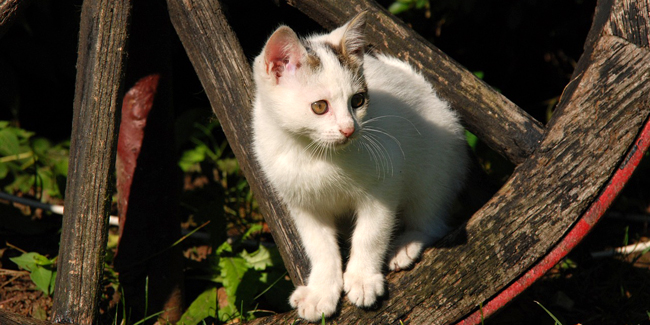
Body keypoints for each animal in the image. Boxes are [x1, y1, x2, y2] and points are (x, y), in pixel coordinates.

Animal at [251, 10, 468, 322]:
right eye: (319, 107)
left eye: (358, 100)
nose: (349, 129)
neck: (314, 154)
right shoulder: (301, 203)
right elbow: (319, 247)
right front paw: (321, 291)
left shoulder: (386, 182)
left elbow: (370, 234)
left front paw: (363, 279)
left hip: (436, 167)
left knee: (432, 219)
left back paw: (407, 244)